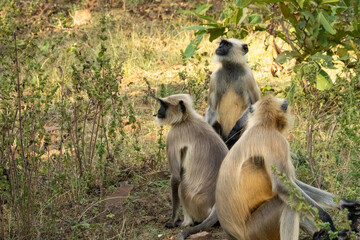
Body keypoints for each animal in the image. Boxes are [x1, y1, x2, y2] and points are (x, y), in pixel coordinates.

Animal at [155, 93, 228, 227]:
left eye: (164, 106)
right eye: (161, 105)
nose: (158, 111)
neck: (186, 119)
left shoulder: (172, 136)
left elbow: (176, 178)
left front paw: (172, 220)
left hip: (198, 204)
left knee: (182, 185)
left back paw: (186, 222)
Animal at [178, 95, 360, 240]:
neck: (262, 125)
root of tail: (232, 235)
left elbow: (292, 183)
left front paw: (347, 204)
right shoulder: (277, 142)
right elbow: (282, 185)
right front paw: (326, 218)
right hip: (256, 231)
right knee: (286, 204)